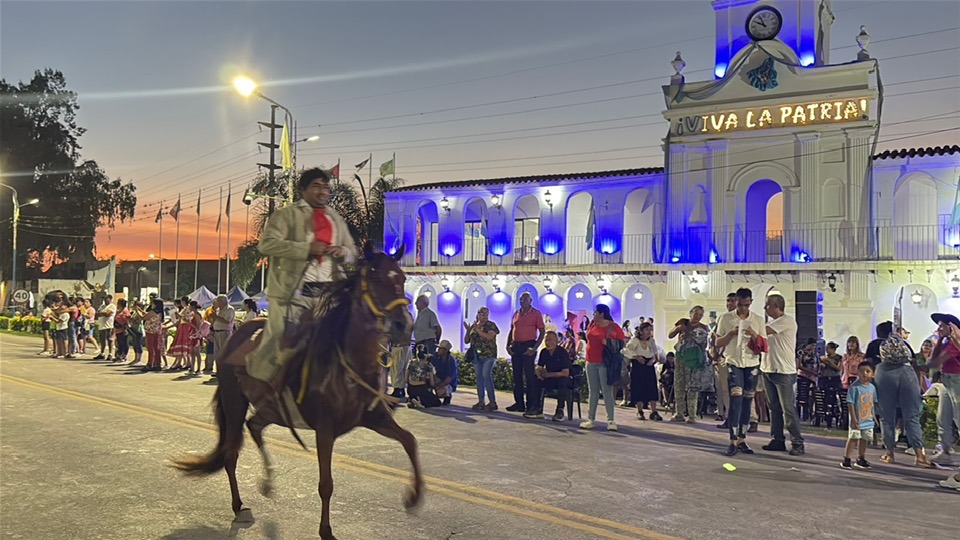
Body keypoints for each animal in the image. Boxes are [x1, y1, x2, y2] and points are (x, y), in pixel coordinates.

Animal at [174, 247, 422, 536]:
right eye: (374, 278)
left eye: (402, 278)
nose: (404, 324)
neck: (348, 360)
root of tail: (235, 336)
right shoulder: (325, 430)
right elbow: (326, 483)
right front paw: (326, 531)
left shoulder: (375, 418)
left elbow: (409, 440)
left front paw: (414, 496)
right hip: (235, 402)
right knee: (231, 453)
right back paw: (239, 505)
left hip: (271, 408)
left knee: (254, 426)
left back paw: (268, 481)